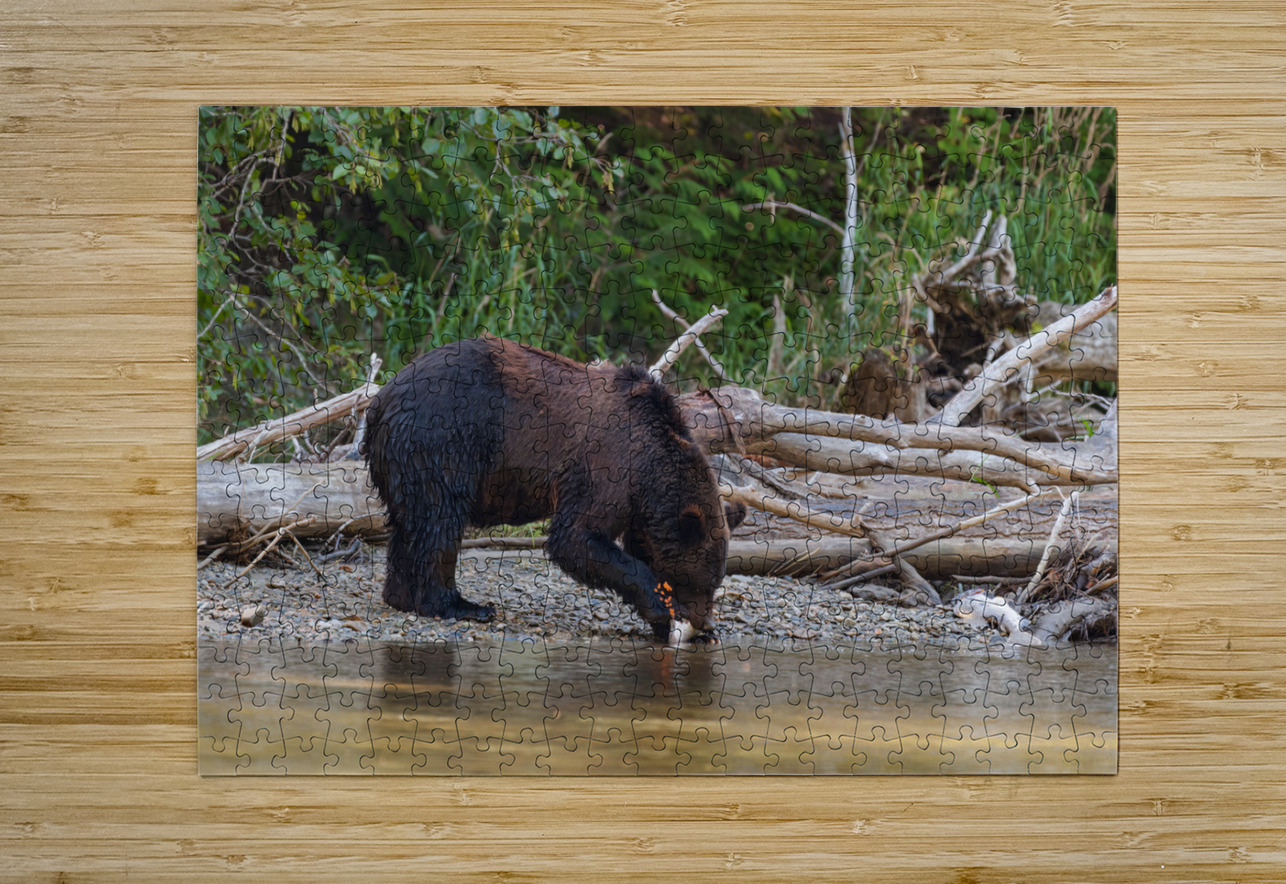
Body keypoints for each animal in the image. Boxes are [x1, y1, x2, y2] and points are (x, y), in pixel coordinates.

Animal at [362, 335, 746, 642]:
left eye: (715, 582)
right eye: (699, 581)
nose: (707, 623)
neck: (651, 467)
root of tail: (380, 401)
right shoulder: (607, 465)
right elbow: (576, 537)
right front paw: (663, 609)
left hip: (405, 458)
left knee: (410, 524)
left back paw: (400, 595)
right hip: (443, 439)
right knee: (440, 520)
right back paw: (459, 604)